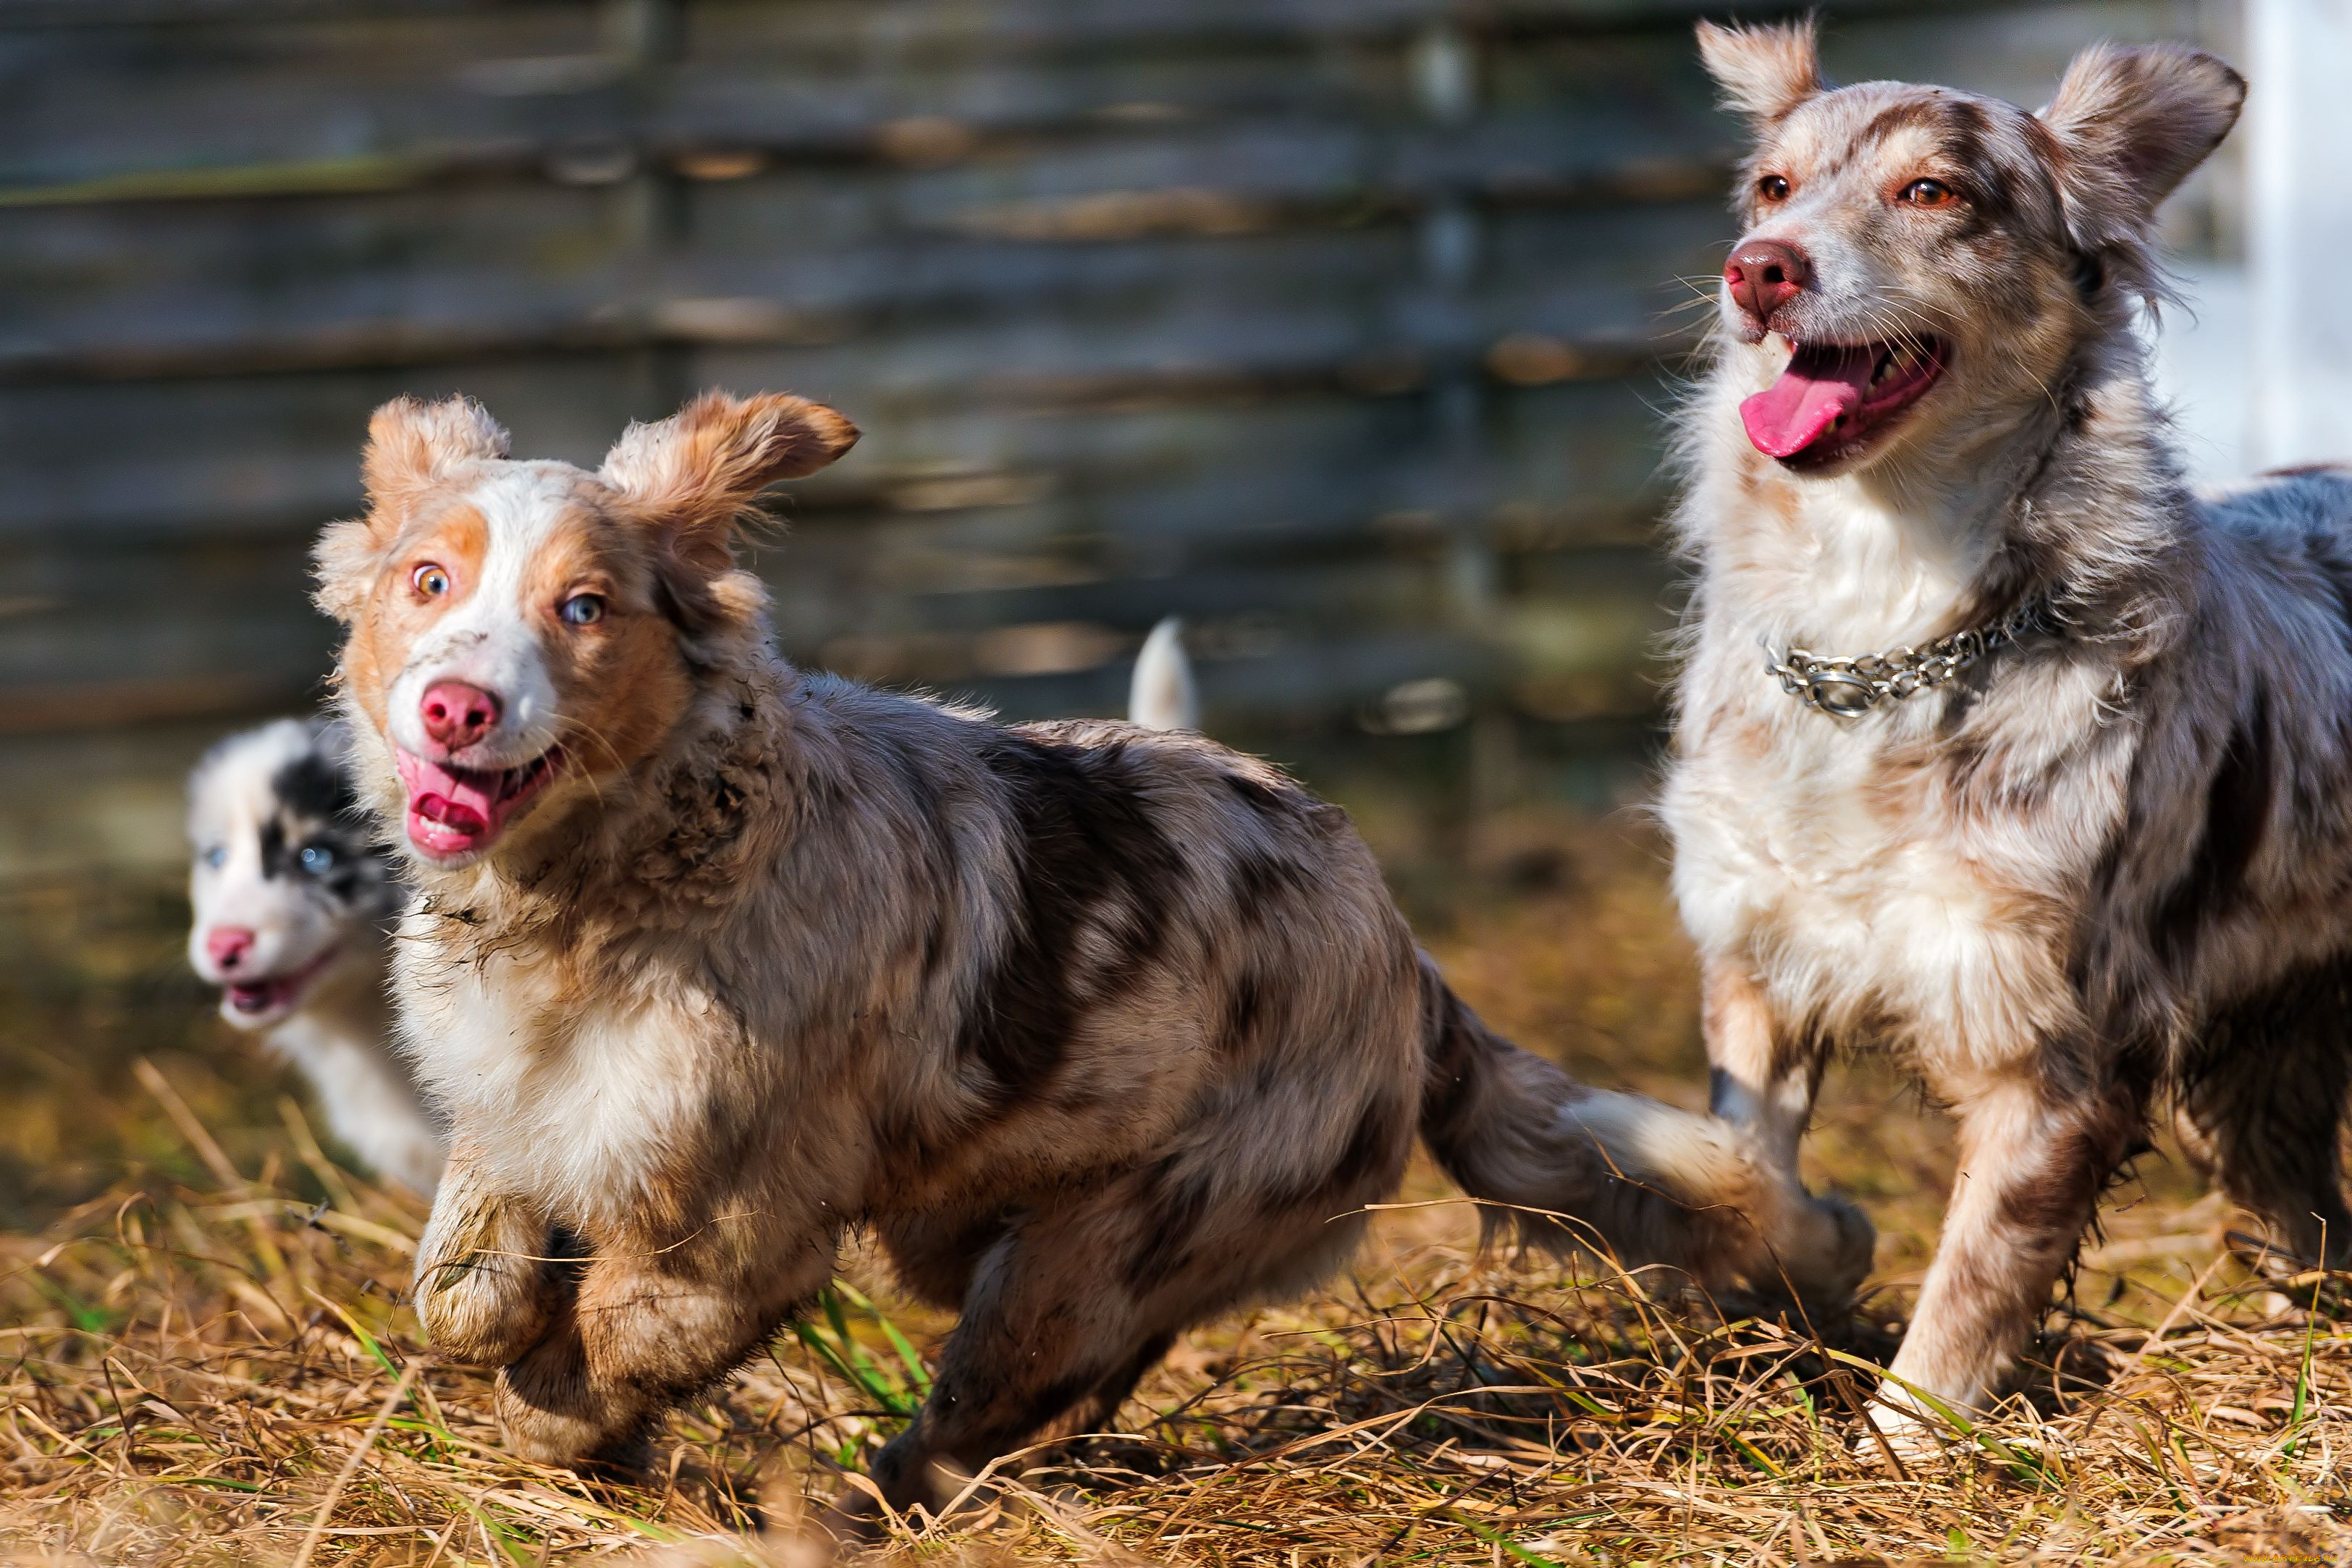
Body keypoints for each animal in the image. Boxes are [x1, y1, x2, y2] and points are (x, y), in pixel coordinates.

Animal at [313, 390, 1863, 1504]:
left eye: (583, 608)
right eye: (426, 580)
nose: (455, 708)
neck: (624, 882)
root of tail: (1406, 962)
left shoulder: (752, 1209)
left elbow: (635, 1324)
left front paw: (567, 1424)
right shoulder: (517, 1107)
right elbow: (463, 1287)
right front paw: (531, 1370)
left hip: (1096, 1243)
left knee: (1000, 1384)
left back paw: (890, 1489)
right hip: (982, 1221)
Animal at [1656, 21, 2296, 1448]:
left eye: (1930, 192)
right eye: (1770, 188)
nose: (1756, 270)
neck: (1884, 620)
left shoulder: (2047, 1050)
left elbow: (1967, 1288)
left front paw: (1896, 1450)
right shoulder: (1758, 960)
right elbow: (1745, 1171)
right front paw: (1824, 1239)